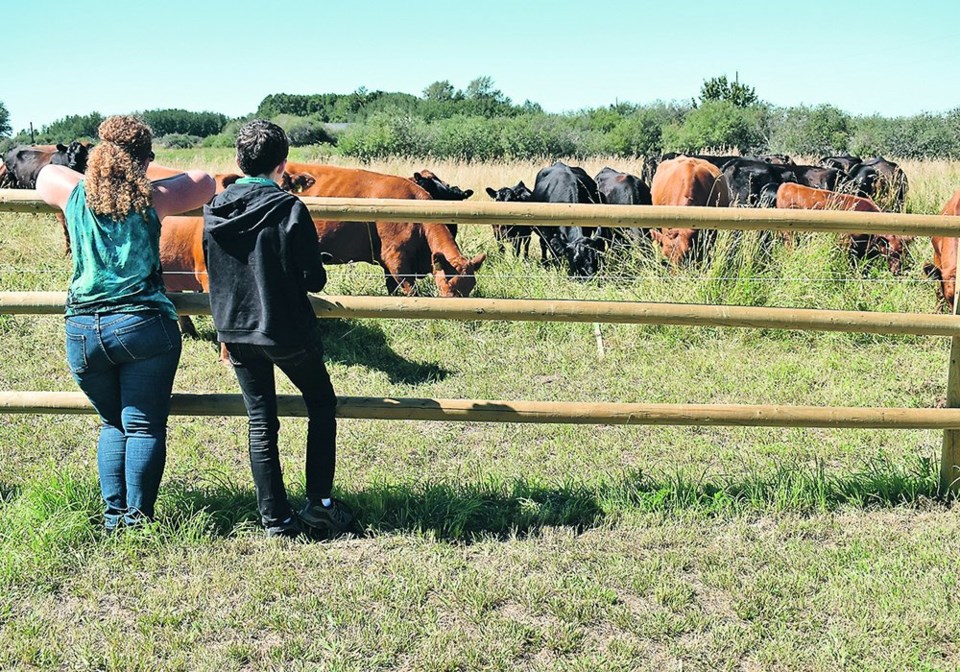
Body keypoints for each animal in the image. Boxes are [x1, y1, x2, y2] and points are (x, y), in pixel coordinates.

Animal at [776, 182, 912, 274]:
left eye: (904, 253)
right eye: (893, 252)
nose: (897, 271)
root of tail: (786, 185)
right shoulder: (845, 243)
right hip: (788, 234)